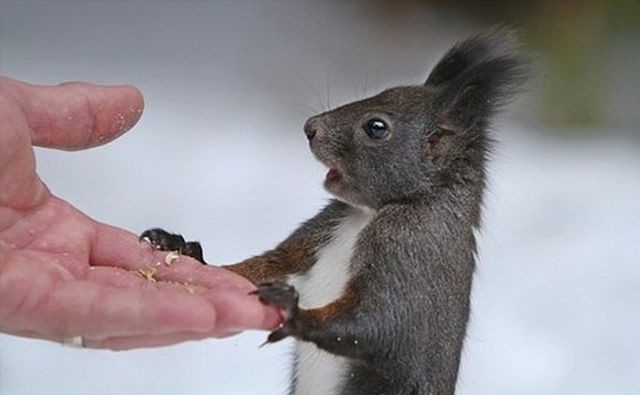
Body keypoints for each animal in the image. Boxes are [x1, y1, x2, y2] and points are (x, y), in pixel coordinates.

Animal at [142, 28, 528, 395]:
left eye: (376, 127)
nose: (310, 127)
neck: (365, 215)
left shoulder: (412, 255)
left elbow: (378, 321)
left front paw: (294, 313)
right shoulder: (316, 238)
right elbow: (265, 266)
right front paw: (181, 248)